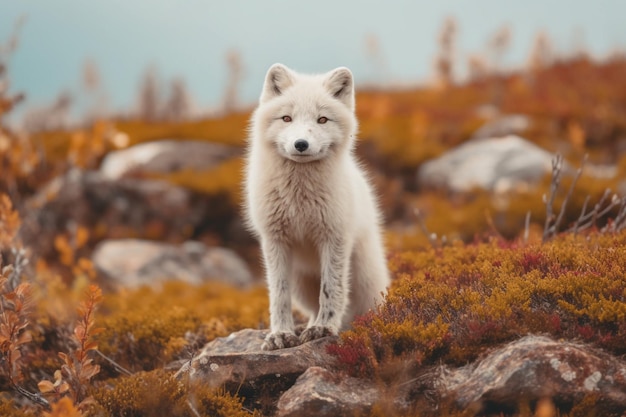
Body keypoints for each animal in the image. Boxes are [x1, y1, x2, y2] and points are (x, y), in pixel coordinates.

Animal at [245, 63, 388, 350]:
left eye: (322, 120)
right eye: (286, 118)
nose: (301, 144)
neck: (298, 199)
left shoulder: (334, 238)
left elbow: (332, 289)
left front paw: (324, 328)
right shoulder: (275, 240)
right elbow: (279, 295)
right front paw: (281, 334)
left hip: (364, 279)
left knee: (357, 303)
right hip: (301, 284)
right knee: (311, 306)